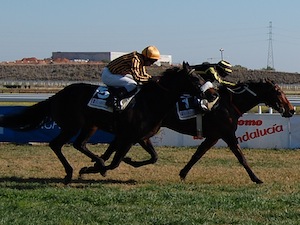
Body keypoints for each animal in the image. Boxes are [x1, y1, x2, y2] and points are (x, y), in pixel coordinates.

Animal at [0, 61, 204, 183]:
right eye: (195, 78)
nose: (209, 94)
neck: (152, 101)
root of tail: (56, 96)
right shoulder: (128, 137)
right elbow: (115, 162)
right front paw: (96, 168)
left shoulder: (142, 137)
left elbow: (154, 157)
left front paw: (105, 165)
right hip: (72, 125)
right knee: (57, 144)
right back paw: (73, 171)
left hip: (90, 125)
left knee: (78, 144)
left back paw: (81, 167)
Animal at [99, 80, 294, 184]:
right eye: (278, 92)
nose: (291, 109)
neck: (229, 103)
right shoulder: (226, 134)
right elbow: (241, 157)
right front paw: (256, 178)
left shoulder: (214, 136)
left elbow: (198, 154)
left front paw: (183, 173)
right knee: (129, 140)